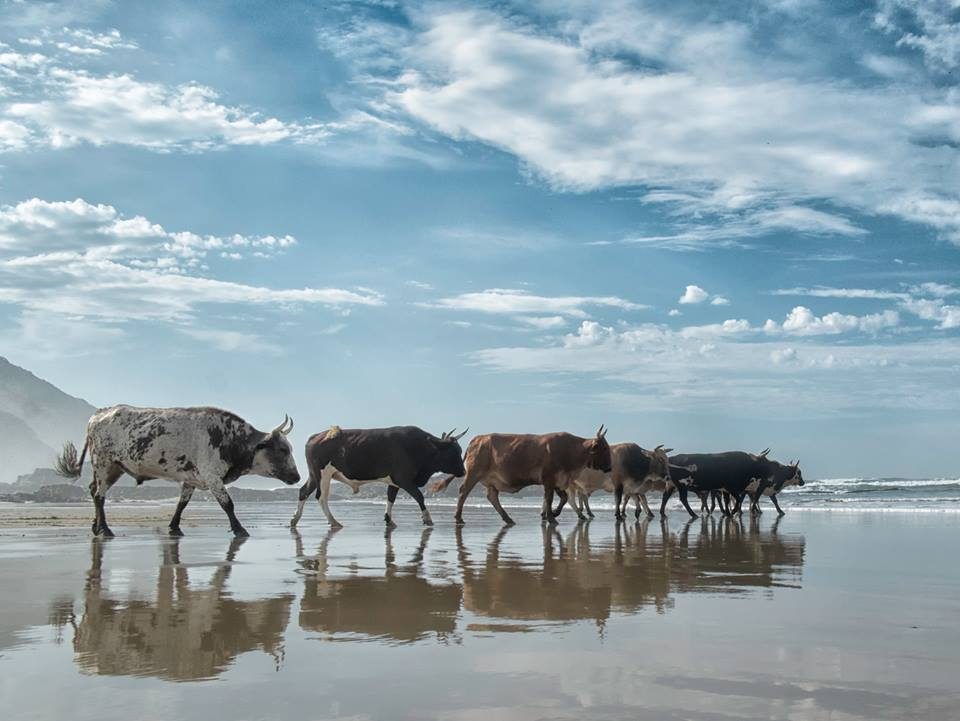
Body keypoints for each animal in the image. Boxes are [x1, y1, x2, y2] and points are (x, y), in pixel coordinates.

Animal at [55, 405, 300, 537]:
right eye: (282, 449)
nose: (297, 477)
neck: (230, 439)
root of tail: (99, 414)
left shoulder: (191, 478)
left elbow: (182, 504)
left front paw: (174, 527)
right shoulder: (212, 476)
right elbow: (228, 504)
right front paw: (239, 529)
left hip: (112, 468)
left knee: (93, 490)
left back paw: (96, 527)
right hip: (105, 464)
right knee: (99, 496)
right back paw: (105, 529)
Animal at [289, 425, 468, 529]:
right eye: (454, 452)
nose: (464, 472)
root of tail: (316, 436)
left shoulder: (394, 481)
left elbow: (390, 498)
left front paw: (389, 520)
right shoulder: (403, 478)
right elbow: (419, 496)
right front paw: (427, 519)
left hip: (314, 475)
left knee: (303, 492)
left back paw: (295, 519)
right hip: (322, 474)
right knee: (321, 497)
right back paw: (334, 522)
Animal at [431, 426, 612, 526]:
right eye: (604, 448)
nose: (610, 467)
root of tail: (477, 439)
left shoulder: (558, 482)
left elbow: (563, 498)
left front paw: (553, 514)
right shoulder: (549, 480)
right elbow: (549, 499)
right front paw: (551, 517)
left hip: (490, 480)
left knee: (492, 496)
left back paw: (508, 518)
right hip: (474, 473)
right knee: (463, 492)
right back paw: (458, 518)